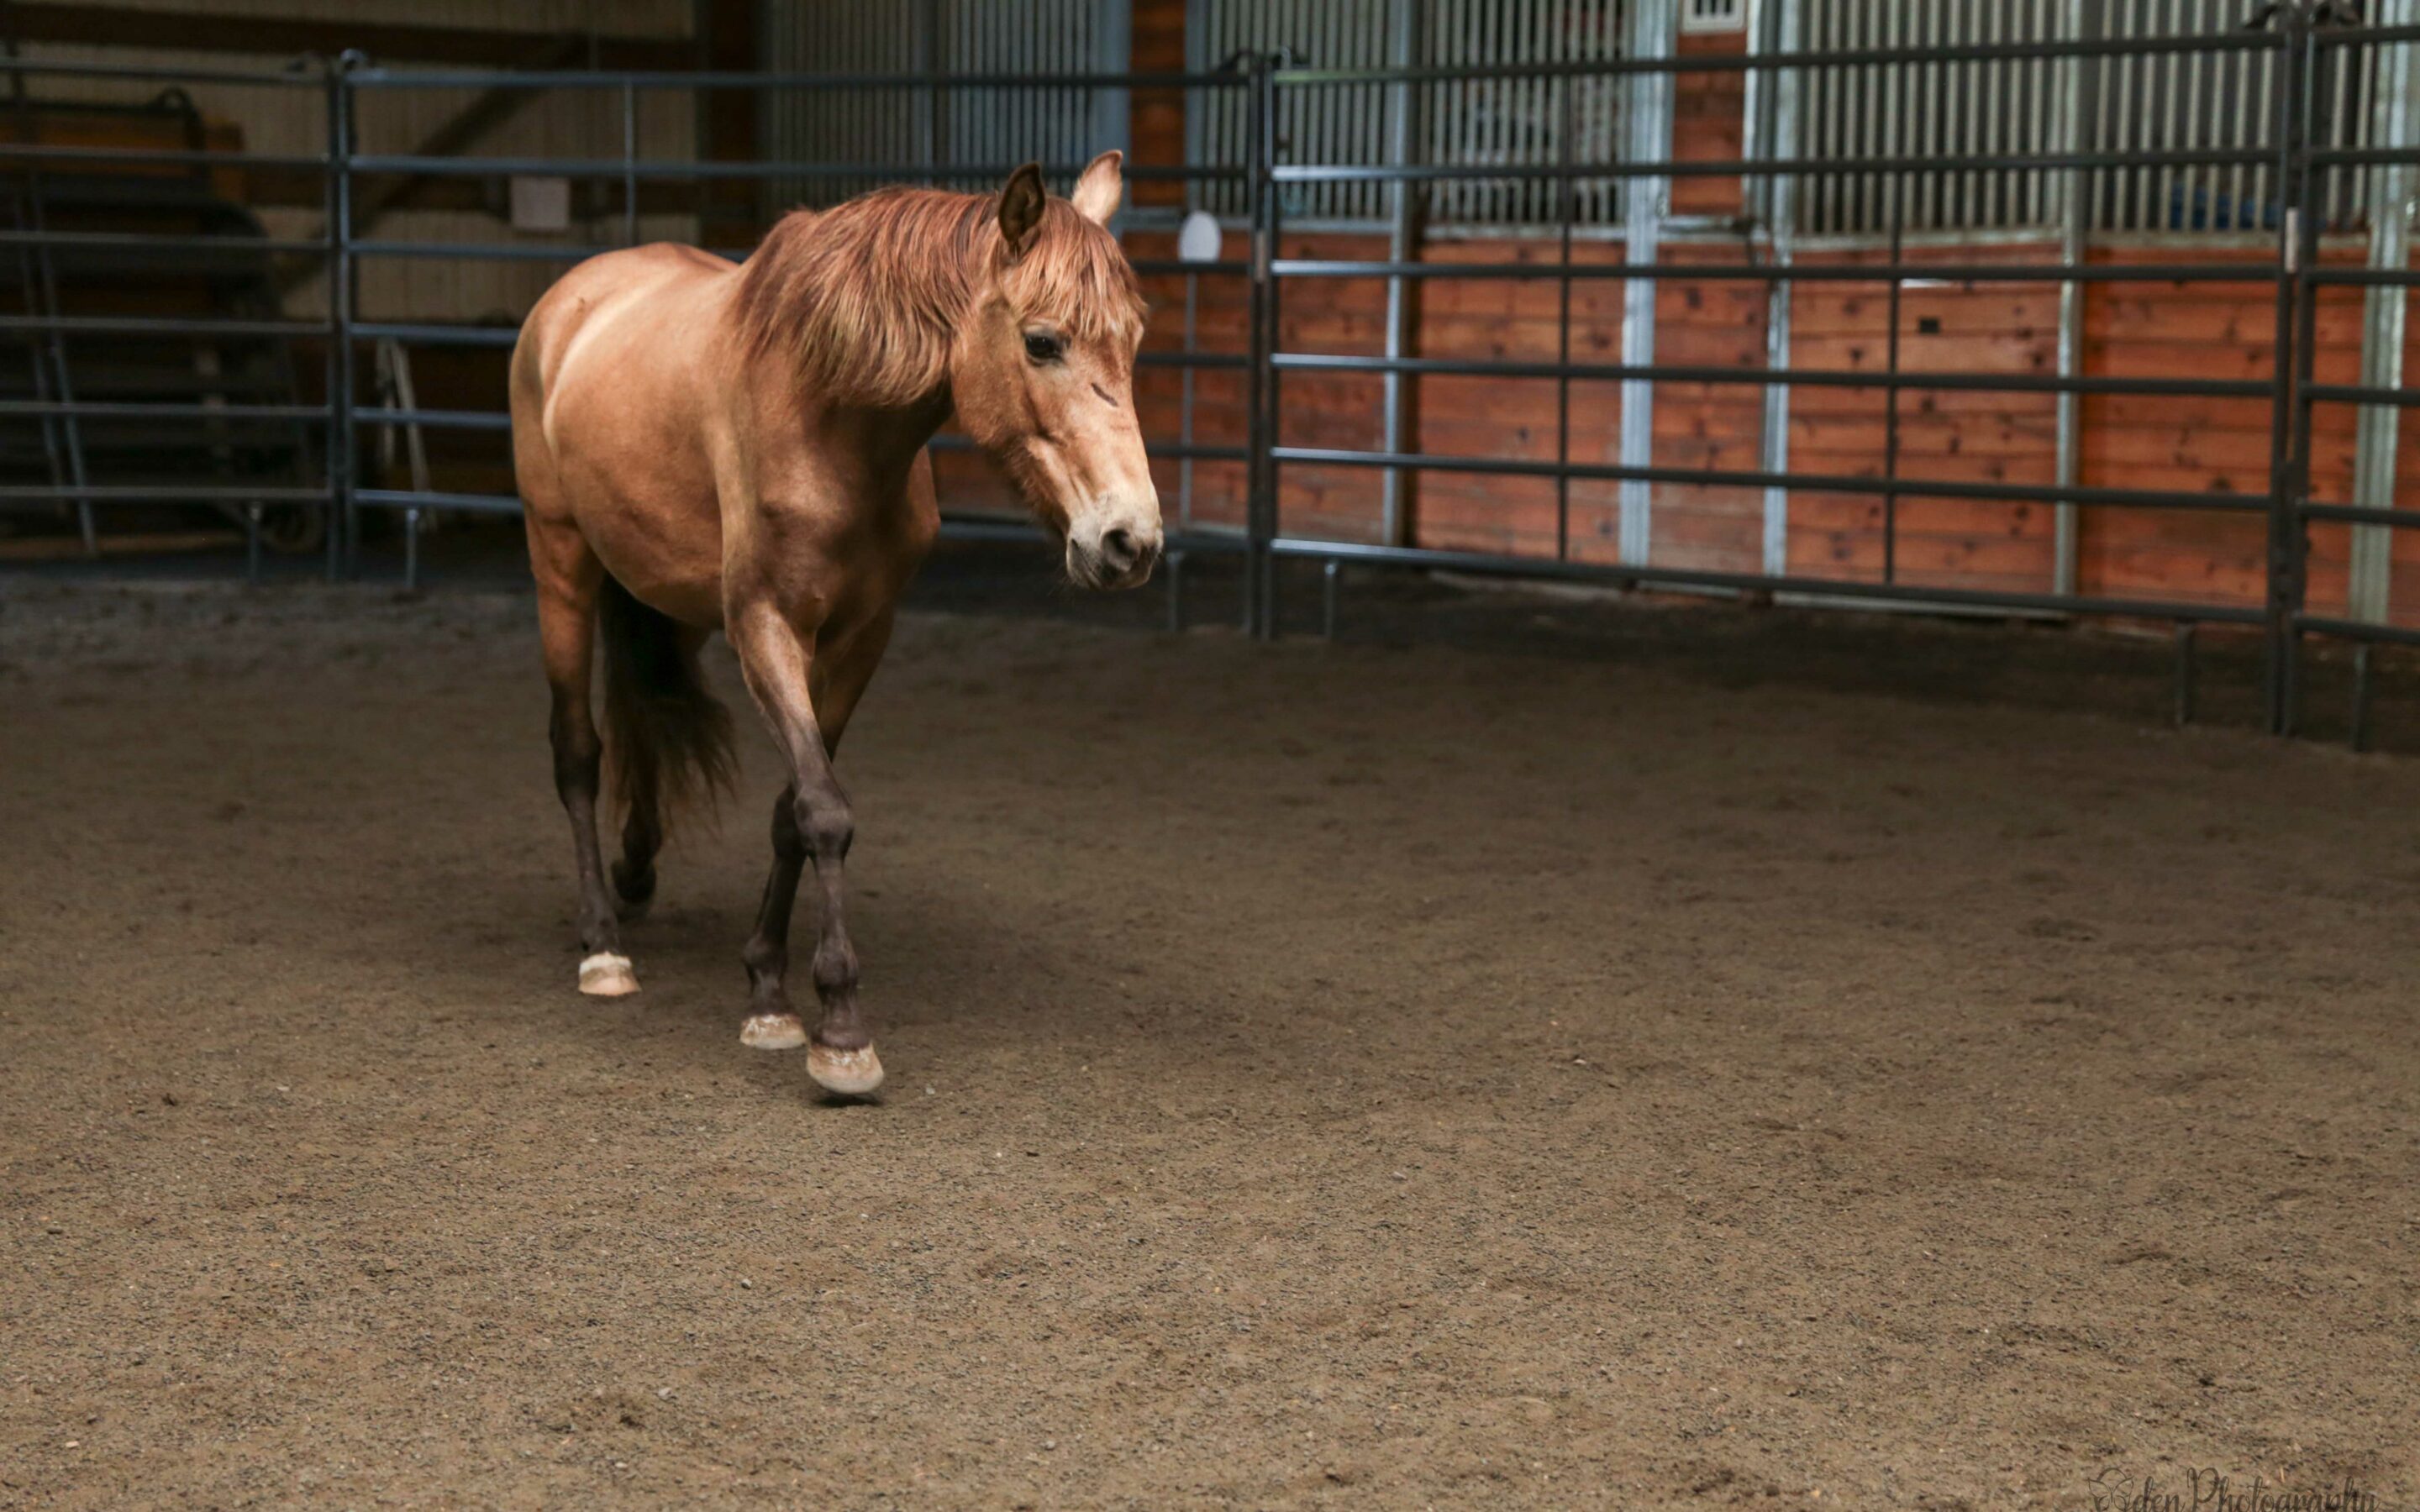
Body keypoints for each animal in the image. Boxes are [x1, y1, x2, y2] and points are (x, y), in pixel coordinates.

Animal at [508, 153, 1151, 1089]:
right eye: (1042, 342)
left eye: (1133, 341)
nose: (1131, 541)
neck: (828, 420)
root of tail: (572, 298)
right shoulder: (765, 629)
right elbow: (823, 811)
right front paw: (840, 1027)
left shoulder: (857, 641)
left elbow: (793, 809)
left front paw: (769, 989)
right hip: (560, 562)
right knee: (578, 752)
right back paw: (602, 945)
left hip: (660, 589)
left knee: (640, 720)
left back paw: (636, 870)